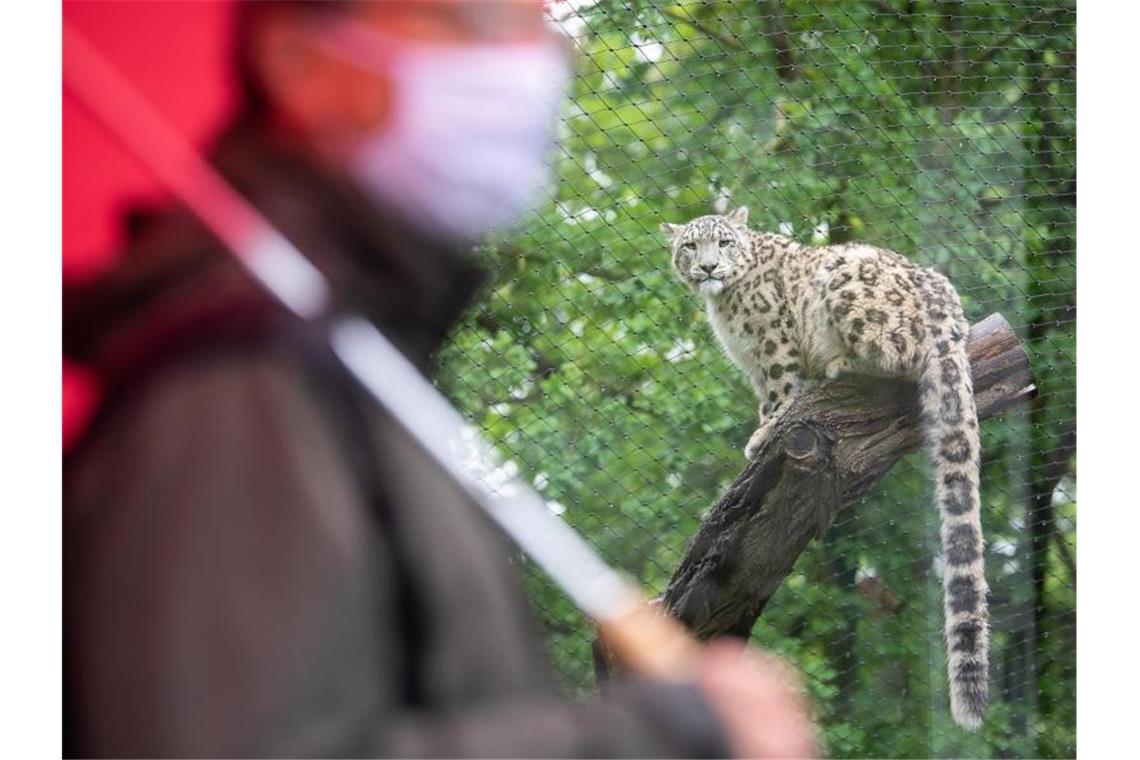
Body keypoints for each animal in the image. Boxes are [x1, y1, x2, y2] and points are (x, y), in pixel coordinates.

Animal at [665, 205, 989, 729]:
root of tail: (948, 306)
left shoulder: (773, 349)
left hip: (851, 290)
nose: (709, 267)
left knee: (900, 354)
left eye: (725, 241)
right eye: (690, 246)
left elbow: (780, 394)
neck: (726, 311)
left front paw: (764, 434)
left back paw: (842, 362)